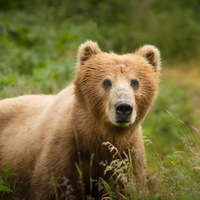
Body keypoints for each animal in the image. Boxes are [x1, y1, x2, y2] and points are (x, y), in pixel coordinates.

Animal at [0, 40, 161, 198]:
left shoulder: (127, 154)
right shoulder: (63, 149)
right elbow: (47, 187)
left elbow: (129, 188)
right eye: (107, 81)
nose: (123, 107)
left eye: (134, 82)